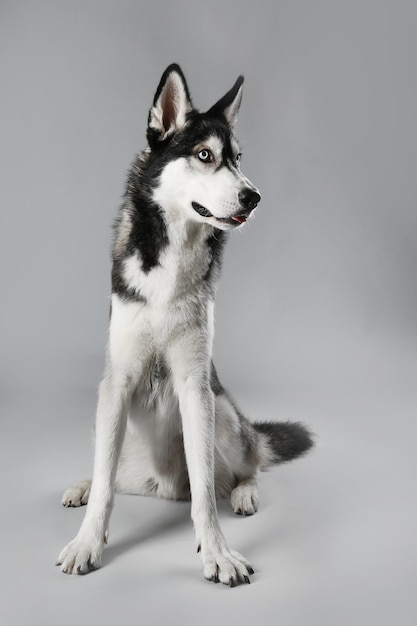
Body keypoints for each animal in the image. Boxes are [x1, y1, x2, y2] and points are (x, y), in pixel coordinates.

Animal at [56, 64, 312, 584]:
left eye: (237, 159)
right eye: (204, 155)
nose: (254, 197)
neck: (173, 256)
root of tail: (163, 486)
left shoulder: (195, 385)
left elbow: (205, 495)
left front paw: (217, 553)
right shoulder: (116, 382)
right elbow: (107, 488)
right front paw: (87, 541)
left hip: (224, 413)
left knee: (243, 465)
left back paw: (244, 491)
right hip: (109, 418)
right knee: (111, 470)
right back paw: (85, 485)